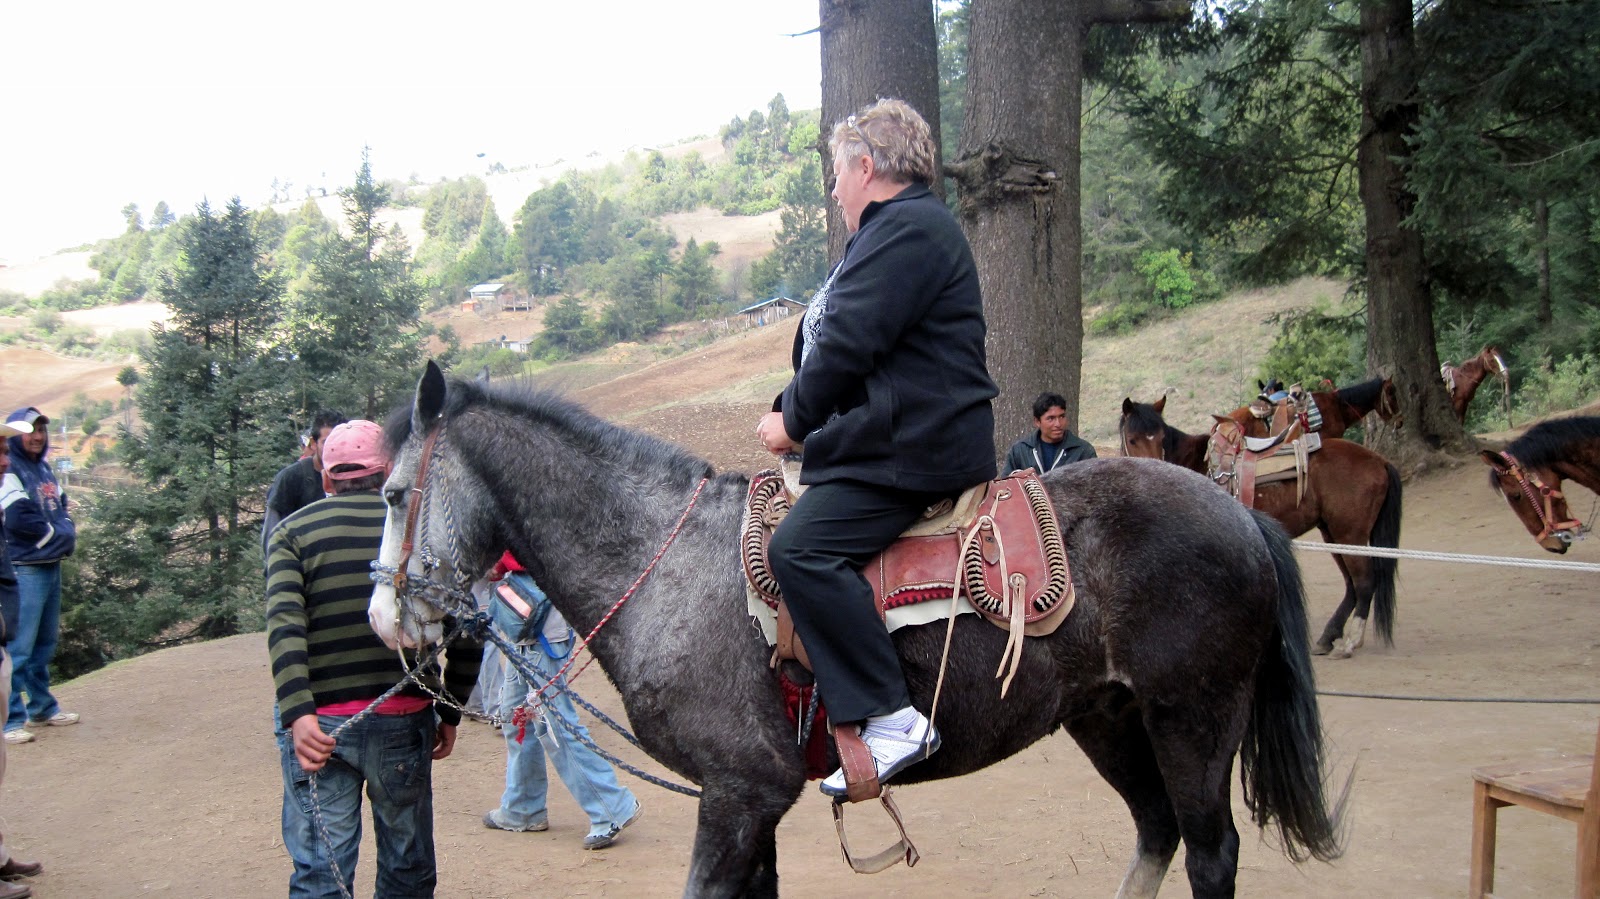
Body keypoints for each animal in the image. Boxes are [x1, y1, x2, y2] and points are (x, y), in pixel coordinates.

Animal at [369, 363, 1345, 899]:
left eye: (389, 492)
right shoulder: (750, 804)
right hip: (1107, 718)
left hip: (1193, 719)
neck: (664, 559)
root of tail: (1236, 511)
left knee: (1211, 851)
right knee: (1157, 833)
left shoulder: (739, 795)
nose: (385, 619)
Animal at [1119, 396, 1402, 660]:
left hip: (1350, 534)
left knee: (1364, 582)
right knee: (1351, 585)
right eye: (1132, 439)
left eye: (1161, 438)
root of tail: (1379, 460)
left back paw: (1350, 642)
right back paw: (1327, 638)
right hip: (1333, 535)